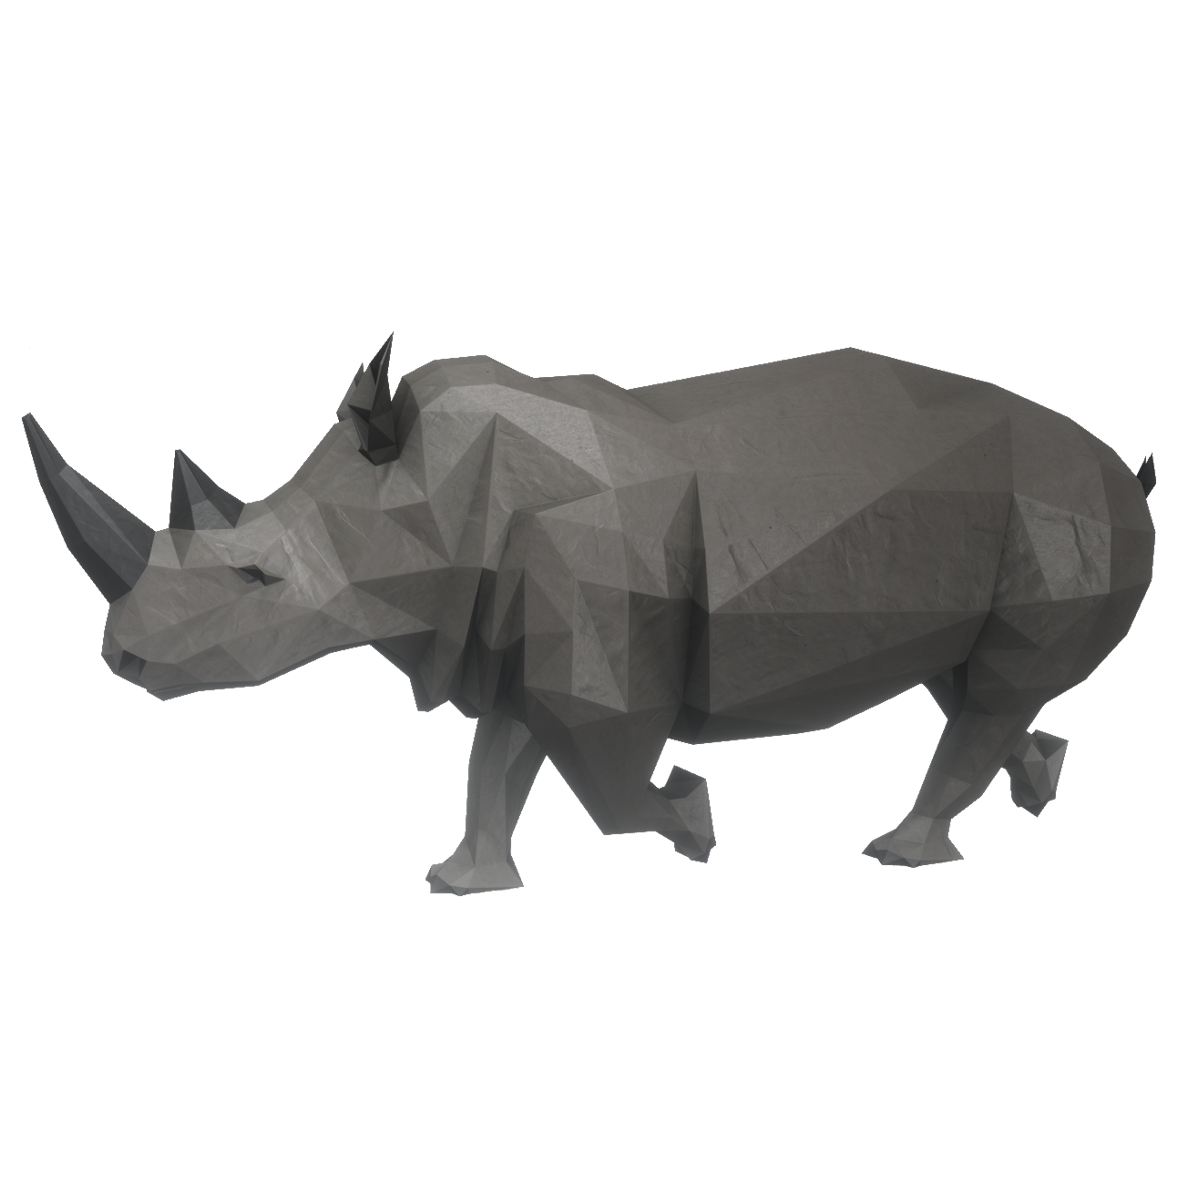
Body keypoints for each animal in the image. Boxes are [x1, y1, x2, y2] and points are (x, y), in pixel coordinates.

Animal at [24, 339, 1155, 880]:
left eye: (258, 577)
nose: (122, 660)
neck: (421, 495)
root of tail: (1120, 467)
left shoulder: (602, 648)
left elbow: (606, 783)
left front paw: (693, 823)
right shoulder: (507, 633)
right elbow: (499, 758)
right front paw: (467, 879)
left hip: (1065, 515)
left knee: (992, 686)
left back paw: (903, 855)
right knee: (972, 680)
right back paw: (1034, 785)